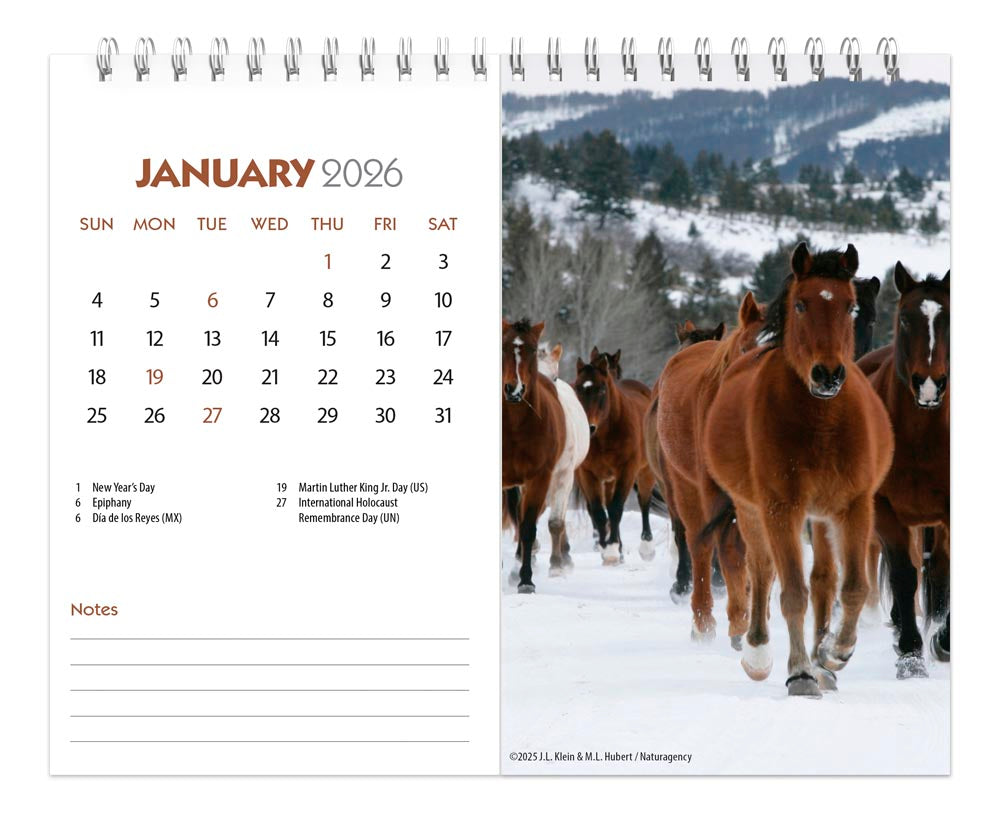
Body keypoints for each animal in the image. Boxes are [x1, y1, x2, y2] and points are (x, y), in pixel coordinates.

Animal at [573, 349, 656, 564]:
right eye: (577, 388)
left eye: (602, 389)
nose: (588, 428)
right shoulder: (588, 474)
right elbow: (598, 511)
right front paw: (608, 548)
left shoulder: (627, 471)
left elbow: (616, 508)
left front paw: (611, 549)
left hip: (645, 472)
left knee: (644, 502)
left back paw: (647, 547)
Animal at [656, 292, 765, 642]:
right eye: (745, 349)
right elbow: (729, 551)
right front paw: (739, 622)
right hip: (687, 490)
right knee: (700, 547)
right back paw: (703, 623)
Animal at [703, 243, 894, 697]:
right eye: (802, 304)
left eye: (849, 306)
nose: (828, 374)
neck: (821, 421)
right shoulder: (781, 507)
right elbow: (791, 591)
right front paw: (800, 672)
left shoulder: (854, 506)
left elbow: (852, 587)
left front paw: (834, 653)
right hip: (752, 509)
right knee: (761, 569)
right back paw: (757, 653)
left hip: (820, 517)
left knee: (824, 578)